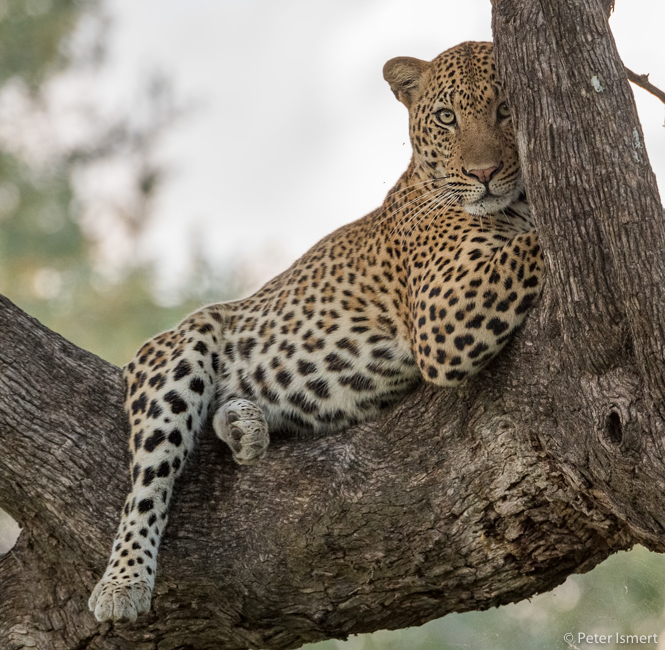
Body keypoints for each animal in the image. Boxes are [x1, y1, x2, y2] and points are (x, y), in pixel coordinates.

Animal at [89, 40, 543, 623]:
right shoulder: (443, 312)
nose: (484, 172)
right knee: (146, 485)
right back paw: (123, 582)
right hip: (176, 353)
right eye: (447, 118)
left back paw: (243, 425)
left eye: (507, 110)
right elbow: (532, 247)